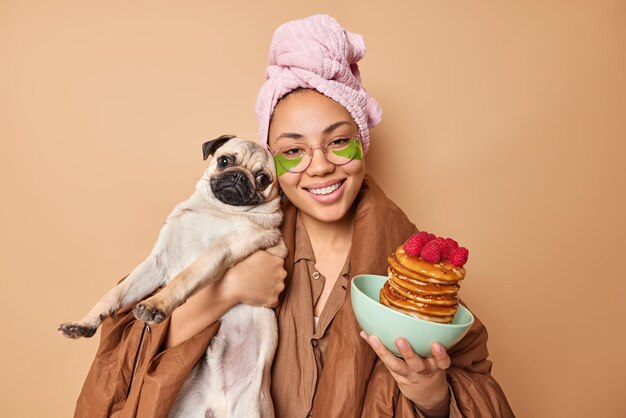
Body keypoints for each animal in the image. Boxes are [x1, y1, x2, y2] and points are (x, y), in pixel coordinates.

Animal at [59, 136, 284, 416]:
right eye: (225, 161)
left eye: (262, 179)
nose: (240, 176)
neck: (216, 210)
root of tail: (217, 403)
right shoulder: (156, 264)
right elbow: (114, 294)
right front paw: (85, 322)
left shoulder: (219, 252)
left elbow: (183, 279)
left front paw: (156, 304)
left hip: (249, 408)